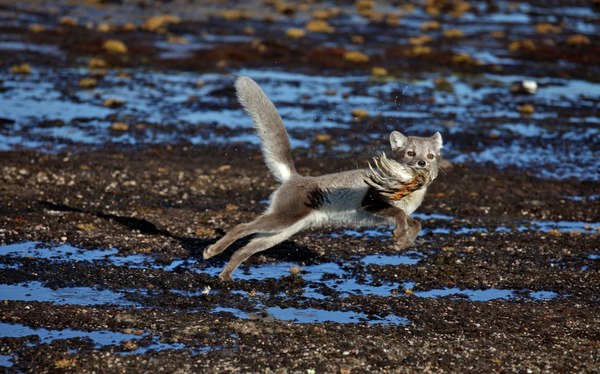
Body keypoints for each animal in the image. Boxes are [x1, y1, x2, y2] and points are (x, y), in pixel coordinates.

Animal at [204, 76, 442, 280]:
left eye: (430, 156)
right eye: (411, 153)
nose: (422, 164)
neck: (409, 192)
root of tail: (295, 178)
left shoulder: (392, 214)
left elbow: (416, 222)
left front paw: (404, 241)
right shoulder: (371, 203)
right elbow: (400, 214)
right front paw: (400, 236)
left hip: (280, 233)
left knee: (244, 249)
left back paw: (224, 277)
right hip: (283, 220)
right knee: (241, 227)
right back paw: (211, 252)